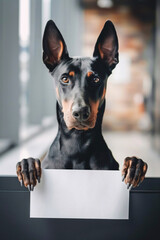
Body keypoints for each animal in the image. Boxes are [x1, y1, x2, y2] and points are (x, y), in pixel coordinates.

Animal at [15, 19, 148, 191]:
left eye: (96, 79)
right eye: (65, 78)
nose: (80, 112)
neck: (77, 145)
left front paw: (135, 165)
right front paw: (28, 166)